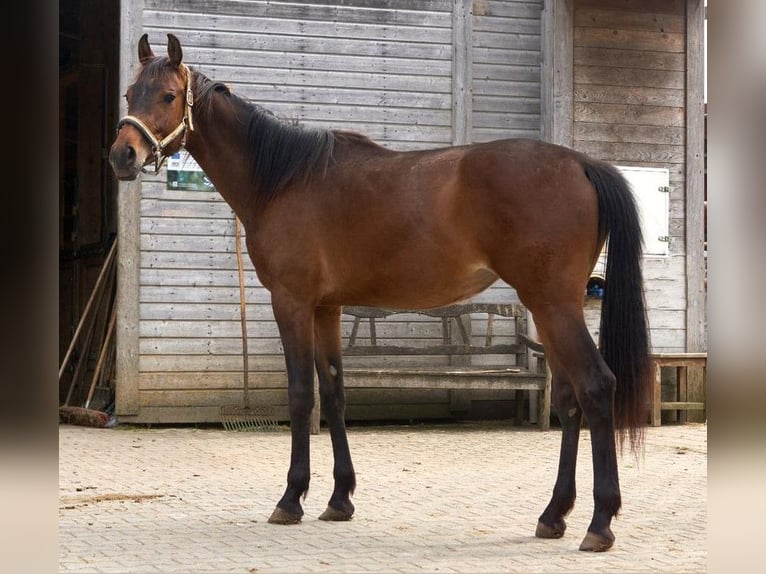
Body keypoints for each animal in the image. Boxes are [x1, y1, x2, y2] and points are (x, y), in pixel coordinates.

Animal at [109, 34, 651, 552]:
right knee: (568, 398)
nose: (122, 155)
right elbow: (334, 393)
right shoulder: (327, 308)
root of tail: (581, 163)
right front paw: (339, 499)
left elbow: (301, 395)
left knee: (596, 387)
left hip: (553, 305)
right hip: (548, 309)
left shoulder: (292, 303)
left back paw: (600, 524)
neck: (284, 179)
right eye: (130, 93)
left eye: (168, 95)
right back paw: (553, 514)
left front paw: (291, 498)